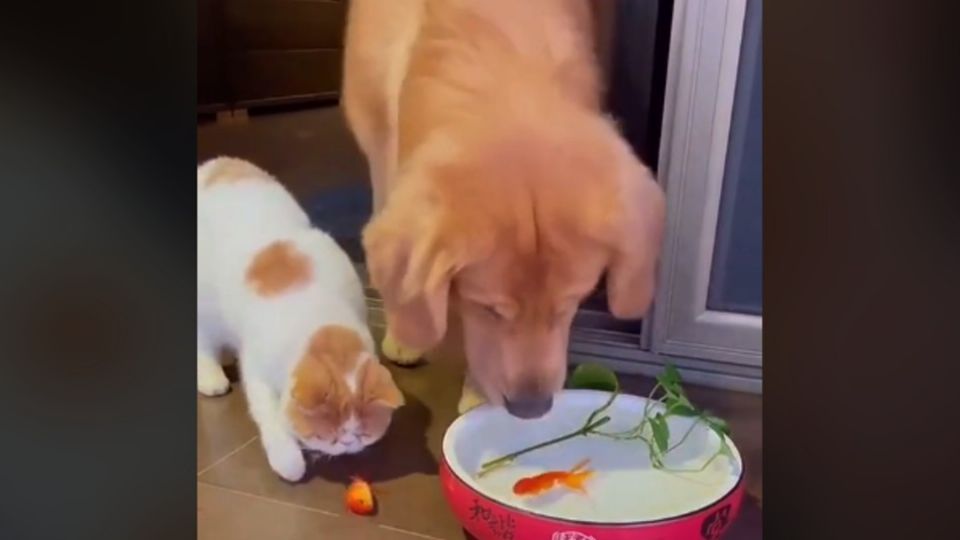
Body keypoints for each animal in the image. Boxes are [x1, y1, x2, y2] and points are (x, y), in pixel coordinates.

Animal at [199, 156, 402, 480]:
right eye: (327, 436)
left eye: (361, 434)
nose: (347, 443)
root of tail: (216, 164)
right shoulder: (257, 370)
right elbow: (270, 415)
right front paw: (289, 461)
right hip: (206, 303)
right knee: (202, 341)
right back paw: (211, 377)